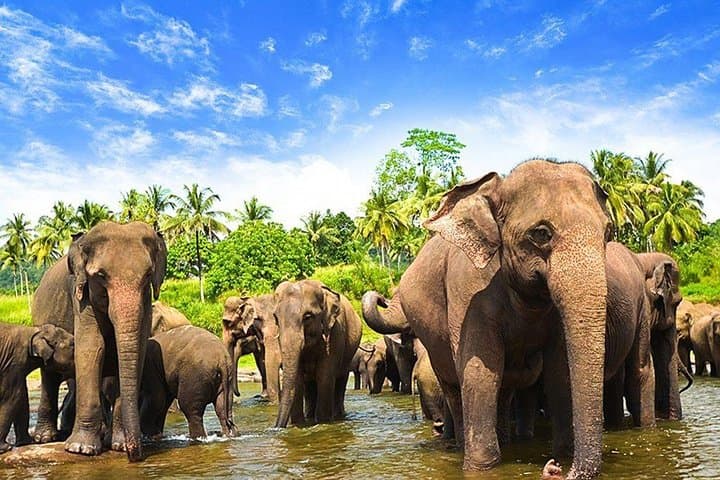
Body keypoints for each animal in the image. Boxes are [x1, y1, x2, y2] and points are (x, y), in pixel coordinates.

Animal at [0, 323, 74, 454]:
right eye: (73, 344)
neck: (36, 330)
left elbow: (21, 398)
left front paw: (27, 442)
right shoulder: (13, 363)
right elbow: (12, 397)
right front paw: (5, 448)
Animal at [31, 221, 166, 461]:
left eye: (148, 275)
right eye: (101, 276)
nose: (136, 456)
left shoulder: (146, 300)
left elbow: (137, 351)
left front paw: (118, 445)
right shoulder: (81, 296)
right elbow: (92, 348)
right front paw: (81, 449)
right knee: (49, 376)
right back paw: (45, 438)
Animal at [274, 280, 362, 427]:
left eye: (307, 317)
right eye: (275, 318)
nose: (277, 428)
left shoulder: (335, 334)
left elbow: (325, 376)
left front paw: (323, 422)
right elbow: (298, 380)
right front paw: (299, 424)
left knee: (340, 381)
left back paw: (338, 416)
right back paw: (310, 416)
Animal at [362, 159, 611, 479]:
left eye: (608, 233)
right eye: (541, 233)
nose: (553, 468)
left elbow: (560, 370)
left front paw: (564, 452)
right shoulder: (468, 291)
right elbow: (480, 371)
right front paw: (481, 467)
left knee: (504, 388)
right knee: (454, 387)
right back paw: (459, 445)